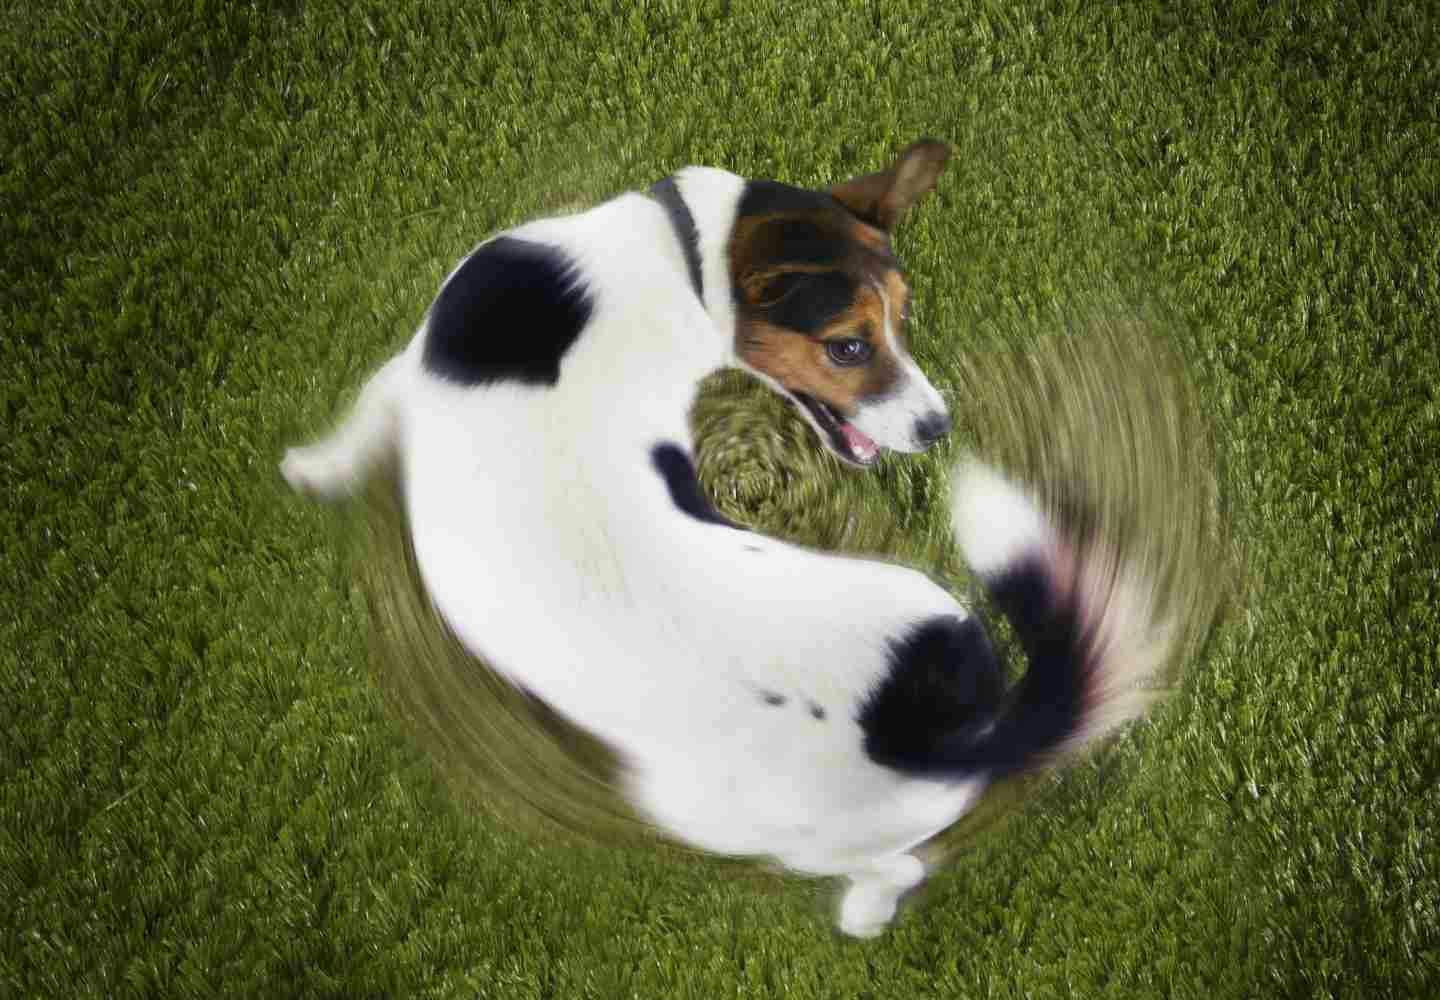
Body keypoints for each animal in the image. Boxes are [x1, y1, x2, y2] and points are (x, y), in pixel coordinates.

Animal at [280, 141, 1169, 939]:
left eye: (903, 324)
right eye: (850, 344)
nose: (937, 427)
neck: (672, 254)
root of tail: (949, 733)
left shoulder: (404, 369)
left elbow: (354, 429)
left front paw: (305, 470)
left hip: (720, 813)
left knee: (896, 867)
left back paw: (860, 917)